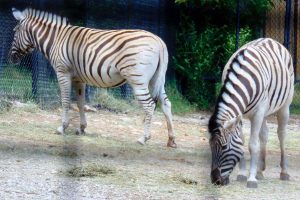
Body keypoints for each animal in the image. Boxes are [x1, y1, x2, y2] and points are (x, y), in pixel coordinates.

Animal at [9, 7, 177, 148]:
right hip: (156, 80)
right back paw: (171, 140)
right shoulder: (79, 78)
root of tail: (159, 41)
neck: (56, 40)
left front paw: (62, 127)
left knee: (149, 105)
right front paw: (82, 128)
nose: (11, 58)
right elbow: (80, 103)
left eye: (15, 31)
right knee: (166, 103)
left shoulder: (63, 72)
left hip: (138, 79)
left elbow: (65, 101)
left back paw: (144, 138)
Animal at [207, 37, 294, 188]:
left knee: (281, 134)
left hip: (284, 106)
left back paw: (284, 171)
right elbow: (242, 141)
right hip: (266, 111)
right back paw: (260, 170)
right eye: (210, 146)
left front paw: (251, 179)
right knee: (264, 134)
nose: (215, 181)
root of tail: (269, 39)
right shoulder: (240, 114)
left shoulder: (258, 113)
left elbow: (253, 145)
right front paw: (243, 173)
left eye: (224, 147)